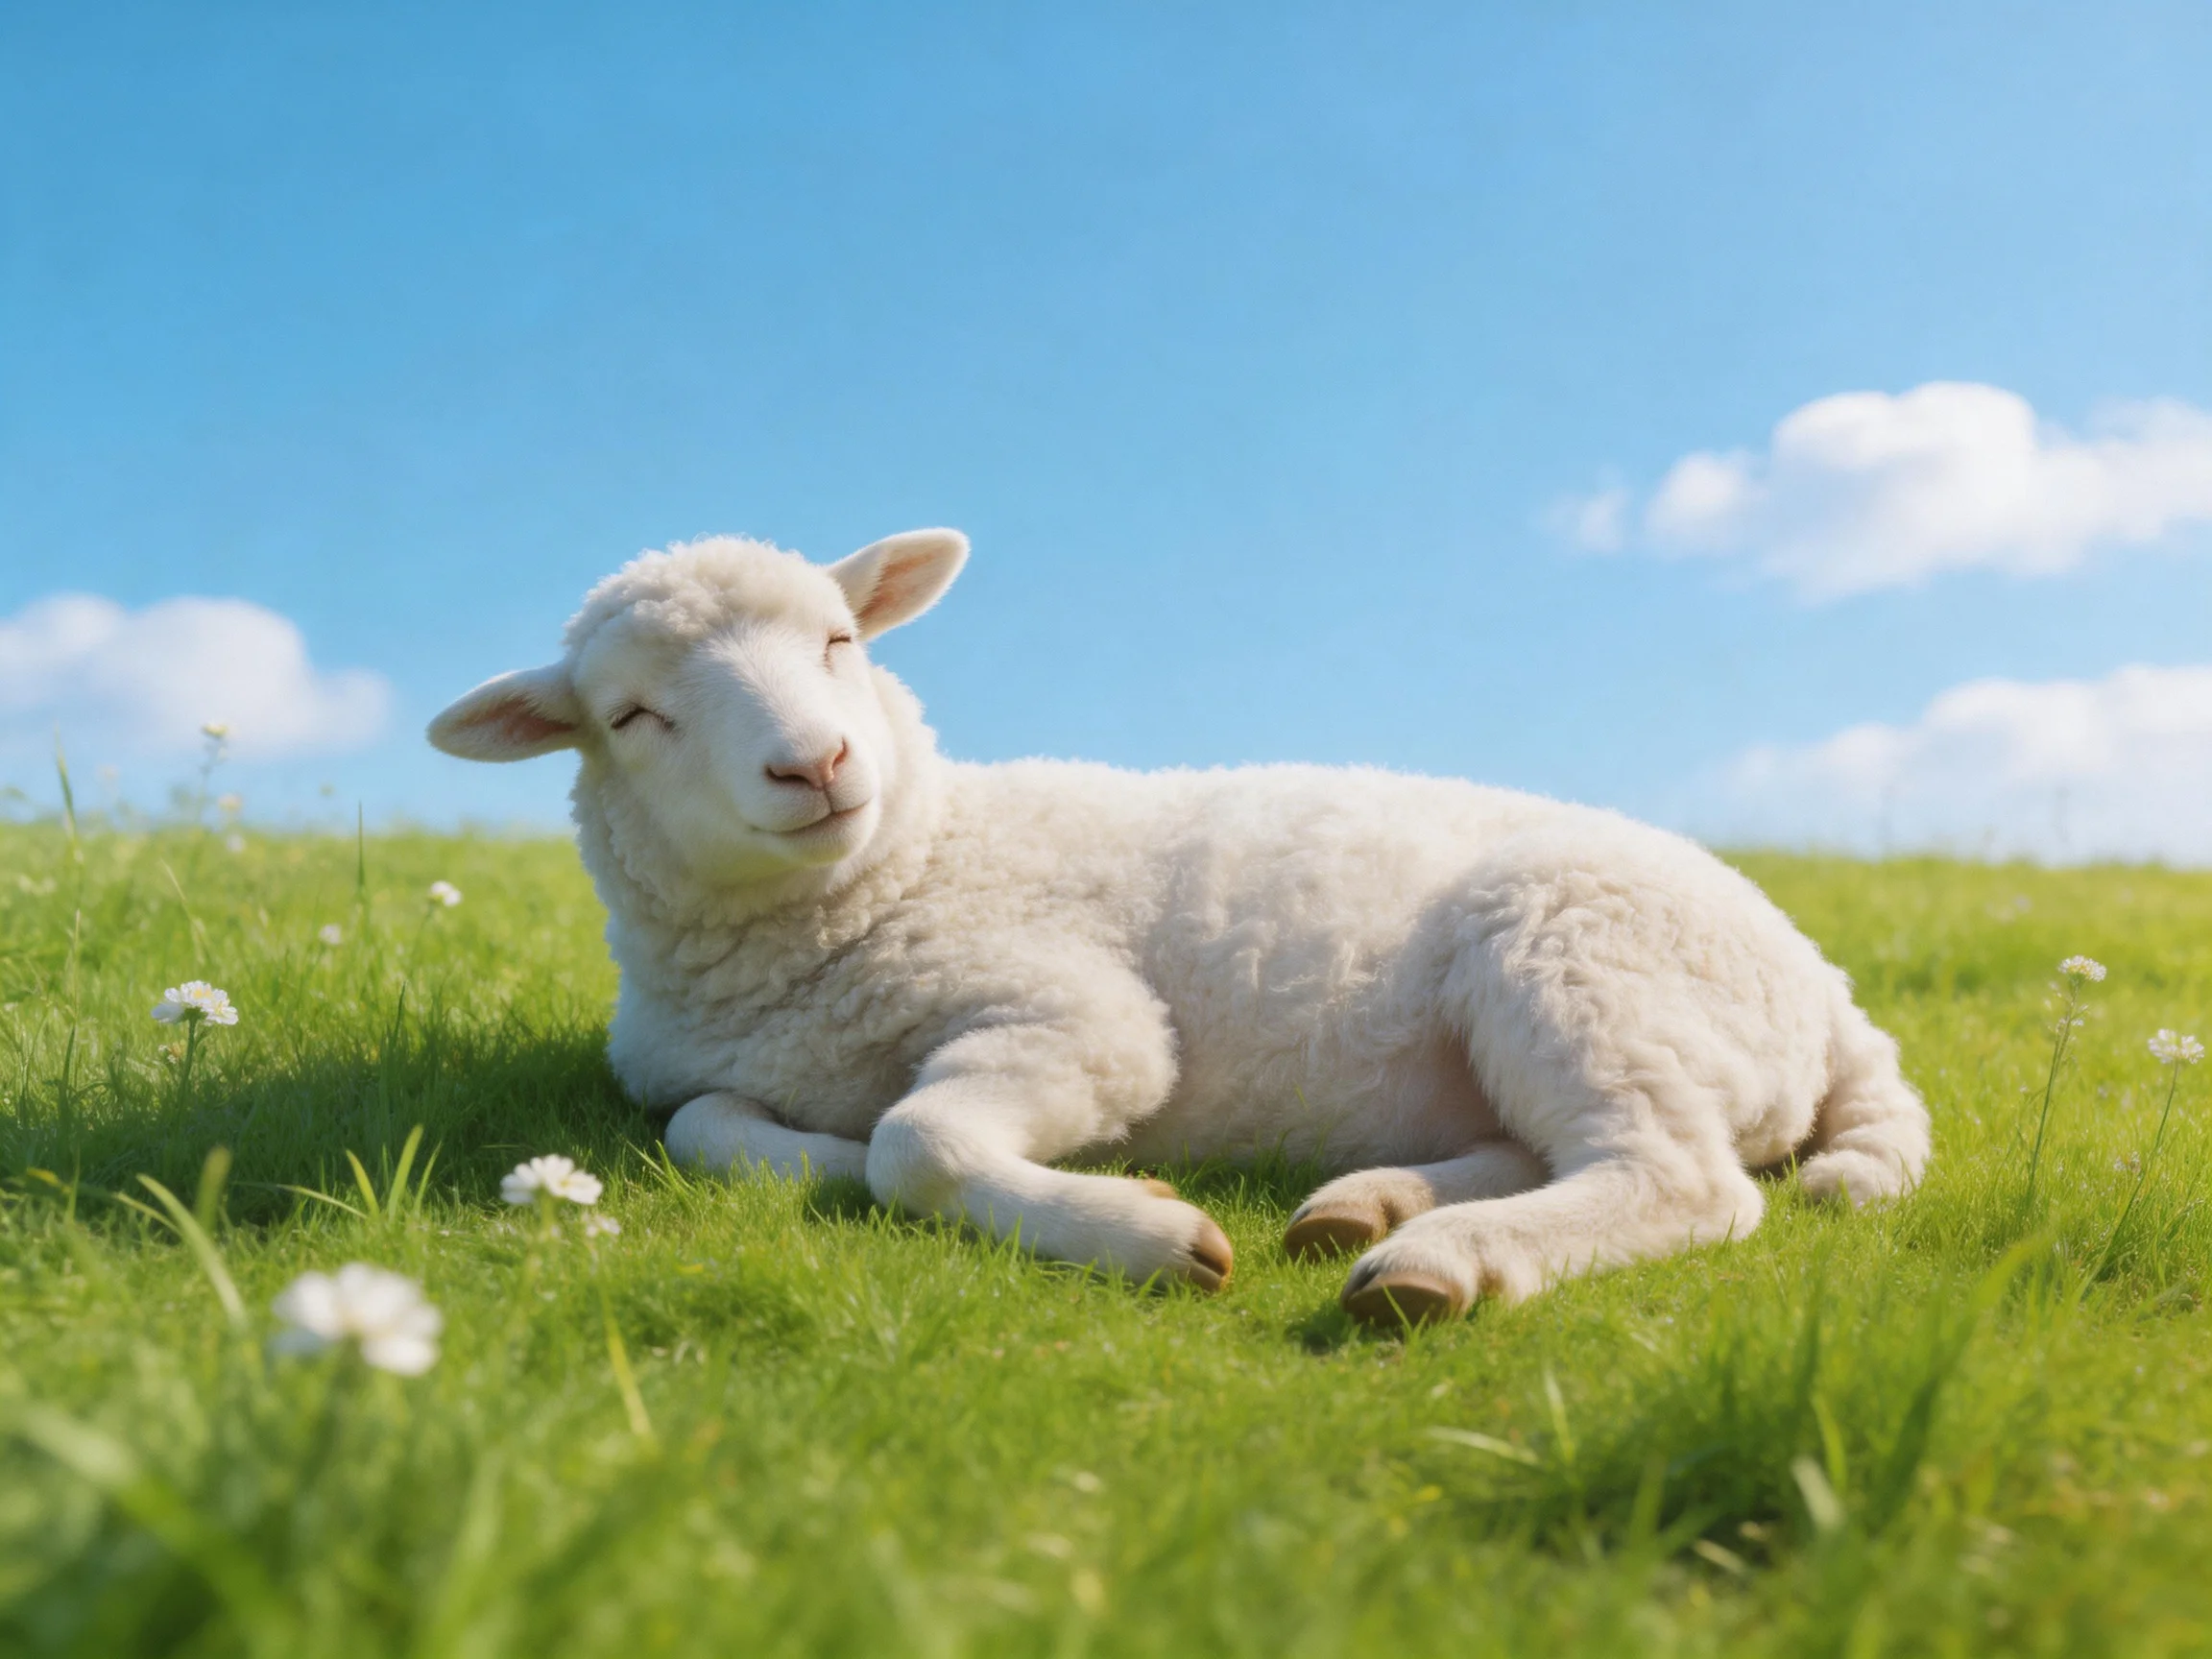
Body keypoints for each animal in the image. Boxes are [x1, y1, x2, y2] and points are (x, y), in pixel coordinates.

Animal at [429, 529, 1930, 1324]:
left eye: (842, 645)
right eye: (634, 715)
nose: (816, 764)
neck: (906, 867)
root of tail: (1829, 989)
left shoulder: (1078, 1015)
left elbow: (921, 1141)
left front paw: (1141, 1231)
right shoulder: (697, 1074)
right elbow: (712, 1130)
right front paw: (835, 1164)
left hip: (1584, 953)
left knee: (1685, 1183)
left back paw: (1435, 1262)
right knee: (1555, 1145)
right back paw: (1373, 1204)